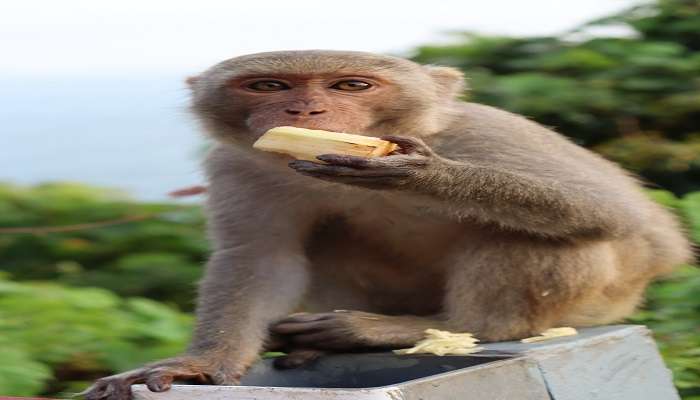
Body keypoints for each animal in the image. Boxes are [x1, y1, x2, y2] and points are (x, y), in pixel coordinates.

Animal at [82, 50, 688, 400]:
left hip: (597, 301)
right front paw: (201, 365)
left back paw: (428, 328)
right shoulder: (237, 163)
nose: (305, 114)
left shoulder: (483, 133)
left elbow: (613, 211)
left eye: (351, 86)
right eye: (269, 87)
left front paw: (422, 174)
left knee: (544, 233)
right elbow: (260, 258)